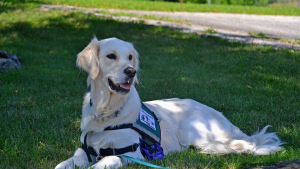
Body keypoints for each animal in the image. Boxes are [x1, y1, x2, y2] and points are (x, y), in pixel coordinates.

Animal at [55, 37, 284, 169]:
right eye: (111, 56)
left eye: (129, 57)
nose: (131, 71)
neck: (106, 112)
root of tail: (222, 117)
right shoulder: (84, 150)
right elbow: (62, 164)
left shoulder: (131, 153)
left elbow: (104, 162)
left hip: (193, 131)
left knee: (241, 144)